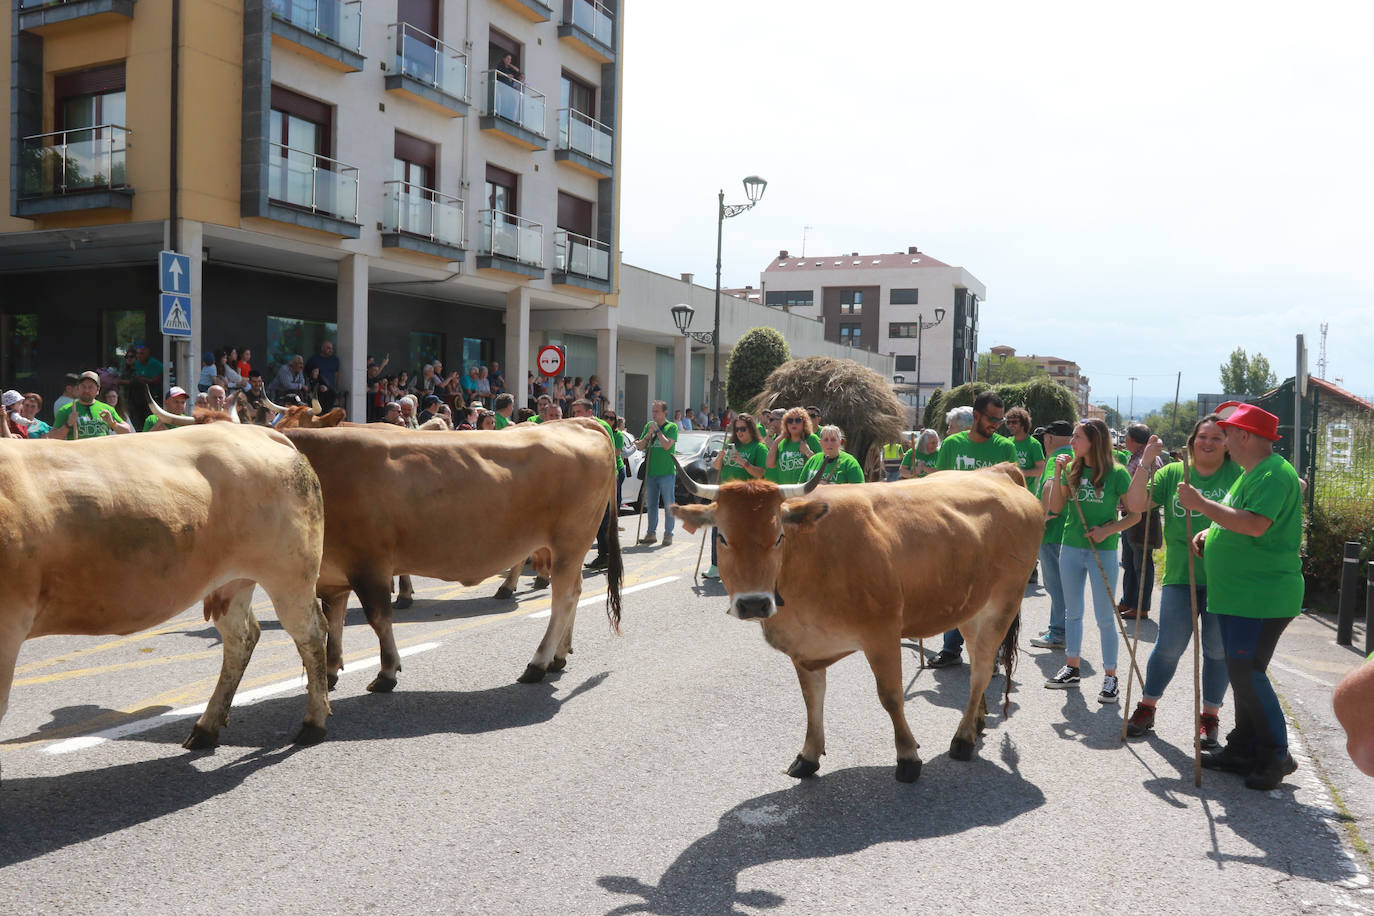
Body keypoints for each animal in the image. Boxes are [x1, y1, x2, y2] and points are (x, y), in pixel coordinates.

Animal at [0, 420, 331, 758]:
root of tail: (258, 431)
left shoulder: (9, 626)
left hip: (289, 574)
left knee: (310, 633)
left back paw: (313, 723)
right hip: (232, 582)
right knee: (242, 638)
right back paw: (206, 728)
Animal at [281, 420, 621, 692]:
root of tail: (576, 422)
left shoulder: (369, 562)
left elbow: (379, 619)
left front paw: (387, 672)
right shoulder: (332, 571)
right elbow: (333, 620)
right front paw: (330, 671)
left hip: (569, 542)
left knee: (564, 597)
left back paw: (537, 663)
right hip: (562, 549)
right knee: (574, 592)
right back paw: (558, 656)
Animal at [667, 461, 1038, 785]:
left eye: (779, 537)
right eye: (722, 537)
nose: (754, 603)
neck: (810, 558)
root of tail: (997, 471)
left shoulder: (882, 633)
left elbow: (891, 696)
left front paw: (908, 757)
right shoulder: (805, 647)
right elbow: (812, 699)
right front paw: (808, 757)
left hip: (1002, 603)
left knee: (982, 669)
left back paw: (962, 739)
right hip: (970, 609)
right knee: (979, 663)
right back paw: (976, 723)